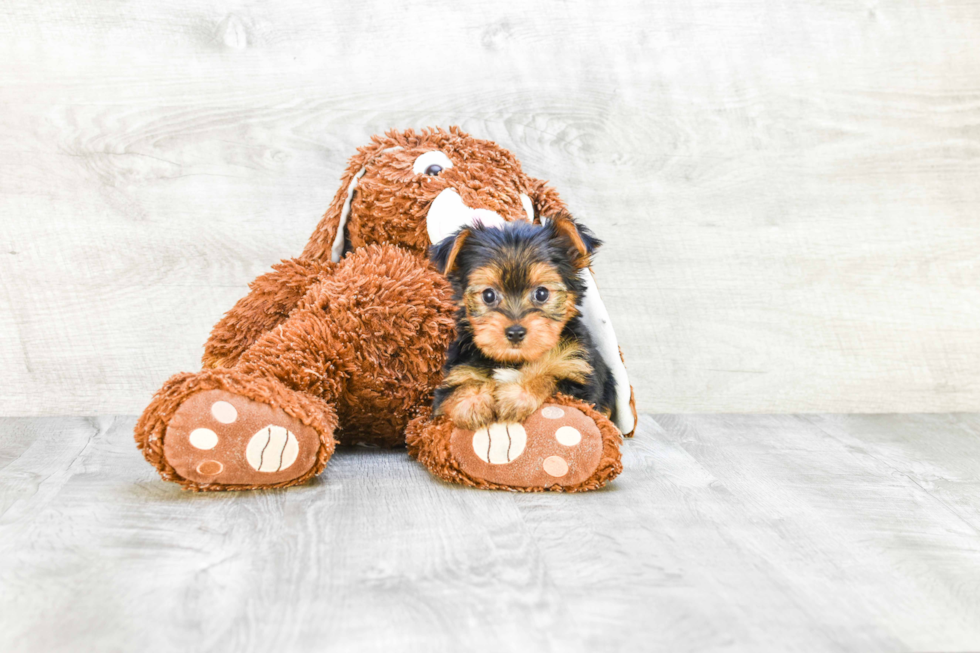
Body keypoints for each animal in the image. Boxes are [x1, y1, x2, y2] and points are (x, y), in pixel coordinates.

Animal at [428, 211, 612, 430]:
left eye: (541, 293)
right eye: (488, 295)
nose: (515, 332)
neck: (514, 361)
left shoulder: (576, 376)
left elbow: (549, 379)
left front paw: (518, 394)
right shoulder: (457, 373)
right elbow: (456, 390)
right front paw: (473, 402)